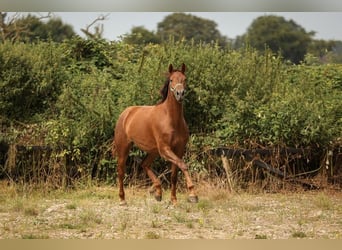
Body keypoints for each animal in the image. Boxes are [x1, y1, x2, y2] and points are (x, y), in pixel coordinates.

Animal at [112, 63, 198, 205]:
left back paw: (157, 191)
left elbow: (174, 175)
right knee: (121, 171)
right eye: (171, 80)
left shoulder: (178, 149)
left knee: (144, 164)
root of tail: (126, 113)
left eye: (185, 79)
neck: (172, 120)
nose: (180, 94)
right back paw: (122, 199)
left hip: (153, 151)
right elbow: (183, 165)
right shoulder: (165, 149)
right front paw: (192, 194)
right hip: (124, 147)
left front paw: (174, 200)